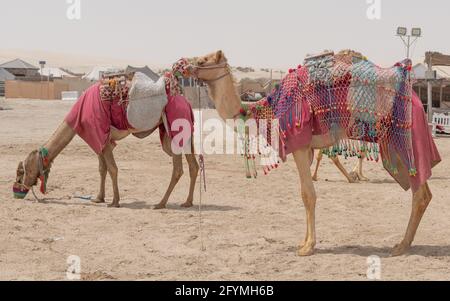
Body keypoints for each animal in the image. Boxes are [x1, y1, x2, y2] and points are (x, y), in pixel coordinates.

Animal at [13, 72, 199, 209]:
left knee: (177, 169)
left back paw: (160, 203)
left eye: (21, 172)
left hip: (174, 125)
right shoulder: (101, 139)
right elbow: (102, 169)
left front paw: (115, 202)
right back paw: (187, 202)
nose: (17, 190)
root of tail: (186, 102)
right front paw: (99, 198)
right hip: (184, 131)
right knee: (193, 165)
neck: (75, 118)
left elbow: (112, 168)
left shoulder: (100, 133)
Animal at [185, 49, 442, 255]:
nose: (185, 65)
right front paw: (305, 241)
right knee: (424, 192)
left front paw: (308, 247)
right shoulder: (308, 148)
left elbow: (308, 194)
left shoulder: (299, 142)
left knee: (420, 193)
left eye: (203, 60)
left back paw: (401, 246)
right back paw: (403, 242)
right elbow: (306, 192)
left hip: (404, 141)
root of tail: (418, 101)